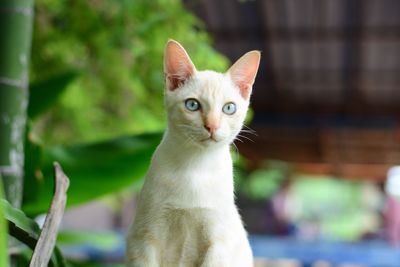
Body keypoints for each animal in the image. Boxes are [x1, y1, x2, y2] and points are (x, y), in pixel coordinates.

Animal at [126, 40, 260, 267]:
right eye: (192, 104)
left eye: (229, 108)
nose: (212, 126)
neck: (196, 166)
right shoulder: (144, 239)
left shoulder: (218, 244)